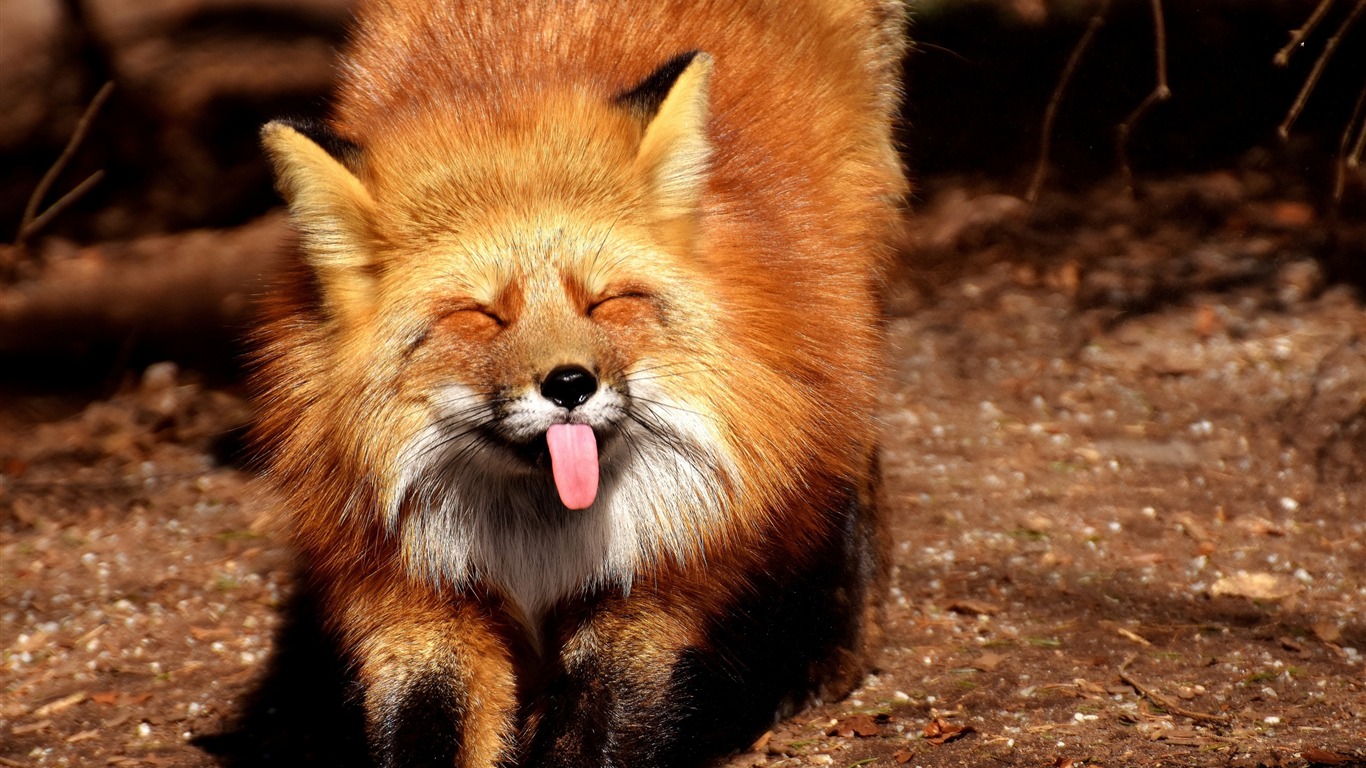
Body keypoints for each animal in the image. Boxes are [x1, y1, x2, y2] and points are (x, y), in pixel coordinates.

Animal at [252, 0, 908, 766]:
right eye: (482, 314)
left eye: (604, 302)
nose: (570, 384)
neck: (538, 544)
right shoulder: (415, 596)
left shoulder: (653, 586)